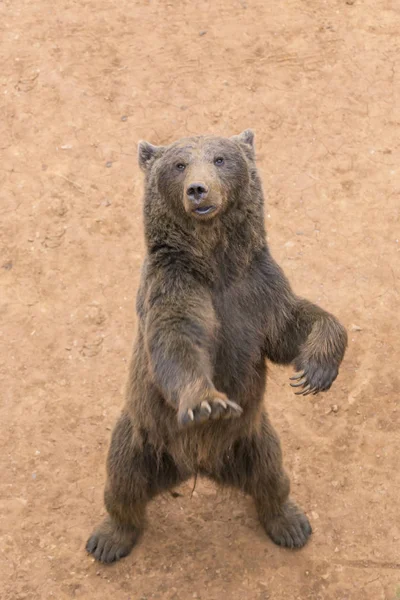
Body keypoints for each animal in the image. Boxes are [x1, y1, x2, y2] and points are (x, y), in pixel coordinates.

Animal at [85, 130, 346, 564]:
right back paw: (108, 539)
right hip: (144, 435)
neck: (215, 262)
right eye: (179, 165)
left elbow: (290, 327)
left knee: (272, 476)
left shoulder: (256, 290)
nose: (198, 190)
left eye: (220, 159)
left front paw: (316, 370)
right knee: (123, 483)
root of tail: (197, 467)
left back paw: (290, 524)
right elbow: (177, 340)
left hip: (252, 439)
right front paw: (207, 403)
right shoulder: (174, 284)